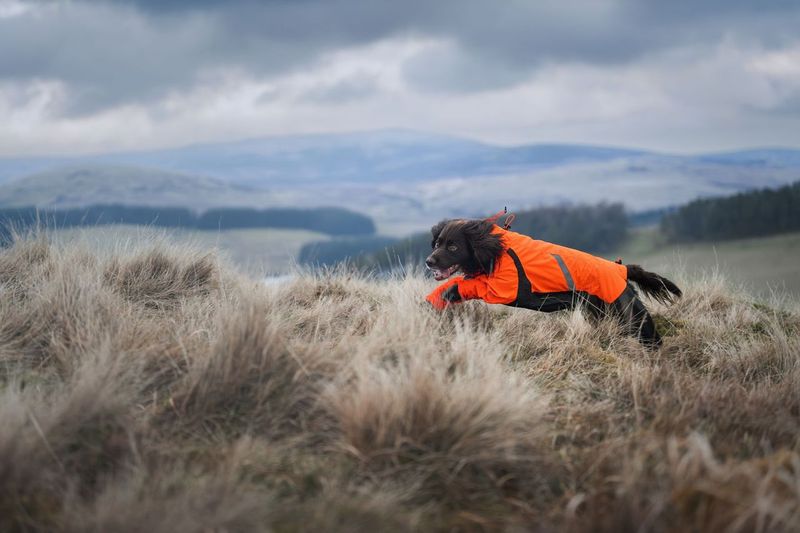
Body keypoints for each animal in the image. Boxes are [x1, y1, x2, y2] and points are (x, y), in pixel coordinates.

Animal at [424, 218, 680, 348]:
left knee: (650, 335)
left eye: (453, 246)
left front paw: (441, 296)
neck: (495, 247)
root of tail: (621, 269)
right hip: (599, 311)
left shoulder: (505, 288)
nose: (429, 261)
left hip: (627, 311)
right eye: (437, 243)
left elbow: (464, 285)